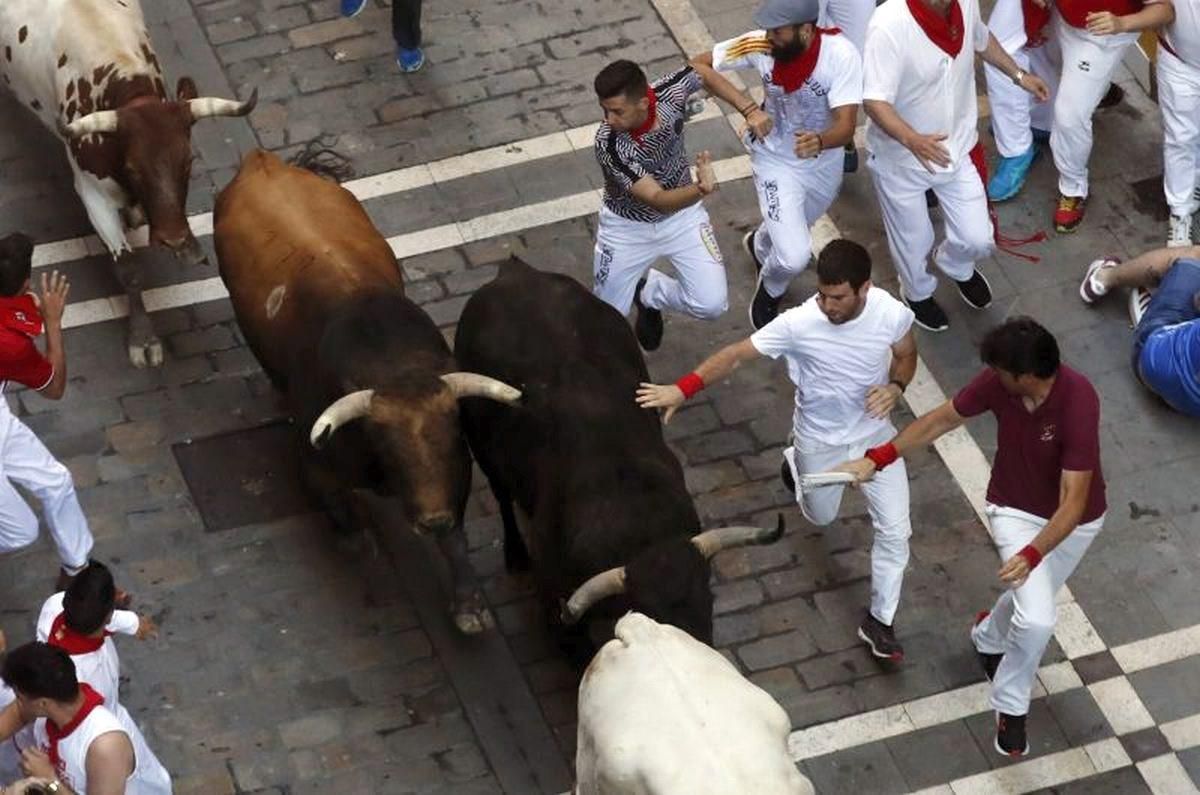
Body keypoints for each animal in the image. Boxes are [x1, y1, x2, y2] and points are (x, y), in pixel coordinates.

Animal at [0, 0, 253, 367]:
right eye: (133, 169)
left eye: (189, 161)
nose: (174, 240)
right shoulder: (93, 194)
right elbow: (128, 269)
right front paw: (143, 338)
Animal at [214, 151, 520, 634]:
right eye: (388, 449)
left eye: (455, 440)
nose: (432, 520)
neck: (392, 365)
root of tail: (262, 161)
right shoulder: (314, 461)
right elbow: (339, 509)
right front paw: (357, 543)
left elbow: (456, 539)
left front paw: (469, 605)